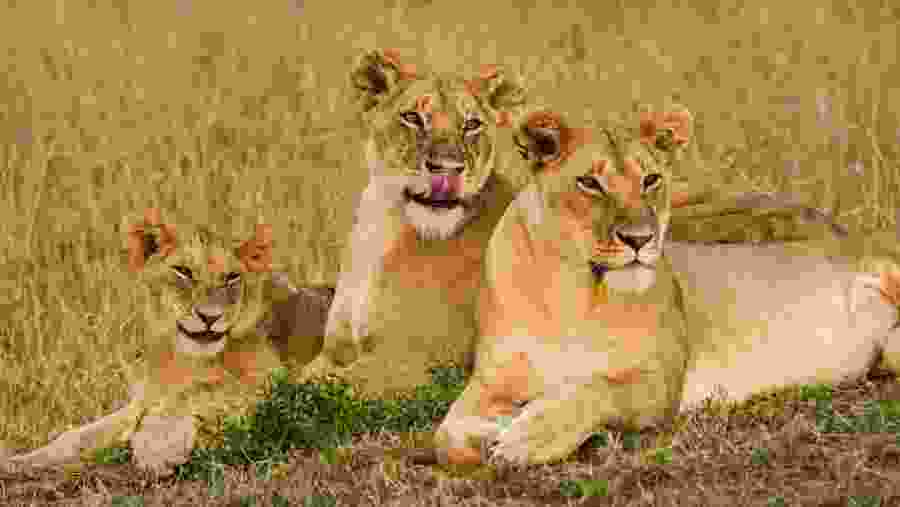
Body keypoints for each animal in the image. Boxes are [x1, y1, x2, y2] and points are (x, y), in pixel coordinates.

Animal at [4, 209, 330, 474]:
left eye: (231, 277)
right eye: (183, 272)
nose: (210, 317)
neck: (179, 355)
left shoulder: (272, 382)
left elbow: (196, 394)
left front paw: (158, 448)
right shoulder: (143, 398)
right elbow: (77, 435)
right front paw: (20, 461)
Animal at [298, 49, 529, 398]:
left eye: (471, 124)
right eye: (413, 117)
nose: (447, 168)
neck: (385, 221)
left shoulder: (418, 363)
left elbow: (312, 386)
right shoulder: (334, 350)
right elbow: (300, 376)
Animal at [434, 108, 900, 466]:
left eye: (651, 180)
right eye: (590, 183)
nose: (640, 239)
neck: (574, 290)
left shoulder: (659, 381)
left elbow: (593, 389)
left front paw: (528, 435)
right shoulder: (491, 381)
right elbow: (446, 436)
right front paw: (488, 432)